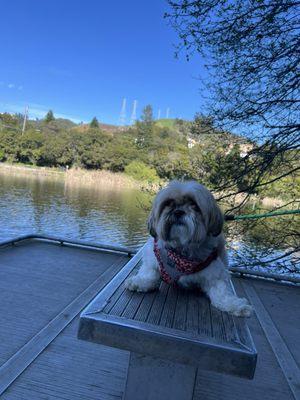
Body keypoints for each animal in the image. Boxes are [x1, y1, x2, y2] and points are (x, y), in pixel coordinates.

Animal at [125, 180, 253, 318]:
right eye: (168, 203)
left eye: (194, 204)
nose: (178, 211)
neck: (180, 251)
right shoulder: (153, 258)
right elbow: (149, 274)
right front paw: (140, 282)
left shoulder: (215, 273)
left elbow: (222, 292)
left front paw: (235, 305)